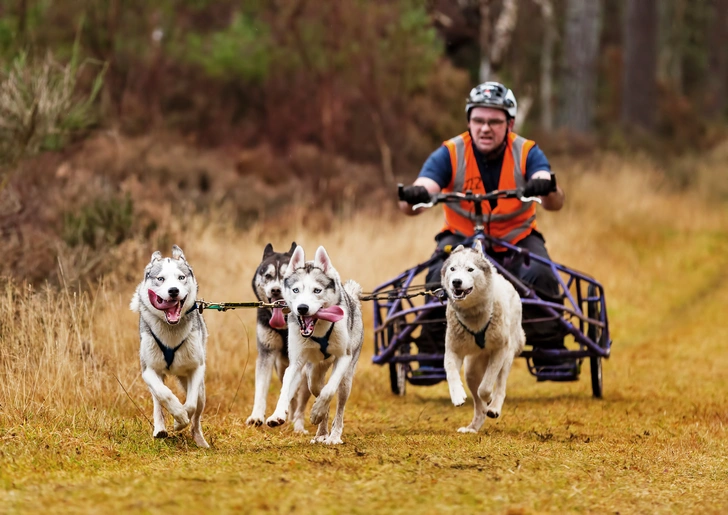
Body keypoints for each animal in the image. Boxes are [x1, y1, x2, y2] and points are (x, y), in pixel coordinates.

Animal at [129, 246, 209, 448]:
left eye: (181, 277)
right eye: (160, 279)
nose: (173, 291)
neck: (171, 330)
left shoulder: (197, 368)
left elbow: (191, 405)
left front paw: (180, 421)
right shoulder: (148, 370)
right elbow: (165, 395)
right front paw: (178, 416)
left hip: (201, 391)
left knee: (197, 415)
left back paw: (199, 439)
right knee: (158, 400)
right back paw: (160, 429)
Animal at [246, 242, 312, 432]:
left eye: (285, 276)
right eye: (267, 276)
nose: (275, 290)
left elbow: (289, 391)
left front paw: (279, 416)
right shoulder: (266, 354)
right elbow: (261, 390)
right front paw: (256, 417)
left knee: (300, 403)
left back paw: (298, 426)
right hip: (281, 367)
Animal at [264, 245, 364, 444]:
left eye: (317, 290)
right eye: (296, 290)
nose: (302, 308)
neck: (318, 329)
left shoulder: (344, 357)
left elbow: (329, 390)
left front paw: (317, 412)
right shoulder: (295, 364)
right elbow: (286, 389)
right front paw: (277, 415)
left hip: (347, 379)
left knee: (338, 403)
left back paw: (333, 435)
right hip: (312, 375)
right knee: (318, 389)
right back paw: (321, 432)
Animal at [440, 242, 528, 432]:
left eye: (470, 269)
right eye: (452, 269)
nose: (456, 281)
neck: (474, 316)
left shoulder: (500, 350)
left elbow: (487, 386)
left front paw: (489, 399)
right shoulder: (453, 350)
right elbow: (451, 373)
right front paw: (457, 395)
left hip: (507, 357)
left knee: (500, 385)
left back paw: (493, 407)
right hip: (471, 371)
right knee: (478, 405)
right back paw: (472, 428)